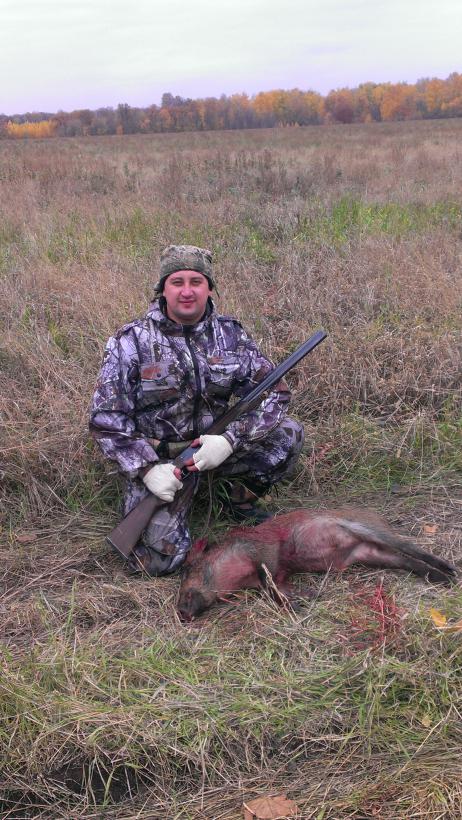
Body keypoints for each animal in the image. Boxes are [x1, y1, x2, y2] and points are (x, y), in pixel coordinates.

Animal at [177, 507, 457, 621]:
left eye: (187, 569)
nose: (181, 612)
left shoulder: (263, 554)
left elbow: (271, 586)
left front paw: (296, 607)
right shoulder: (280, 575)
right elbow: (277, 588)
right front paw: (306, 597)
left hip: (369, 530)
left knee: (410, 548)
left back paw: (451, 572)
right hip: (370, 554)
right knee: (404, 559)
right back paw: (443, 579)